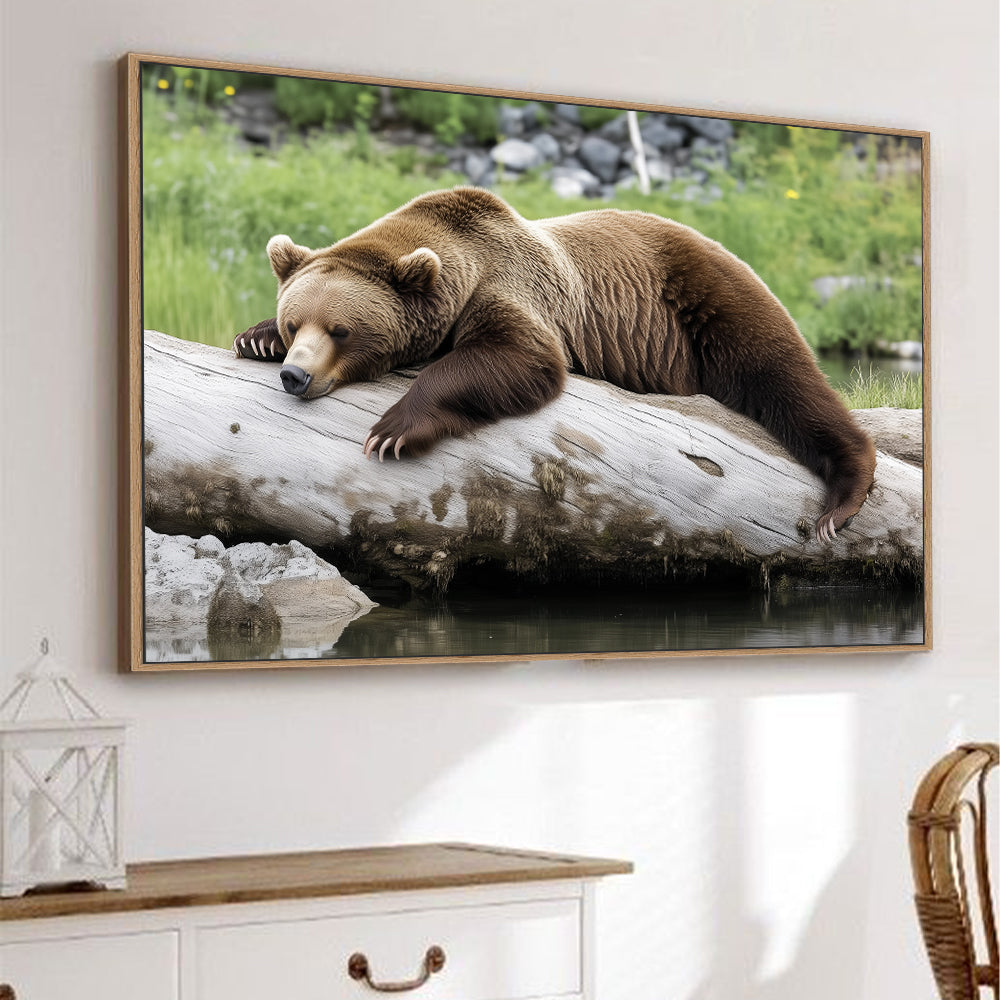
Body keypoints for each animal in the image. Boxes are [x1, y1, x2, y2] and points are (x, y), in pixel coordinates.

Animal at [233, 186, 876, 542]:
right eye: (294, 324)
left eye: (340, 330)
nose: (296, 374)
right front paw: (252, 339)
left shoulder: (510, 288)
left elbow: (519, 358)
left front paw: (393, 429)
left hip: (709, 302)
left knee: (782, 375)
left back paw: (841, 497)